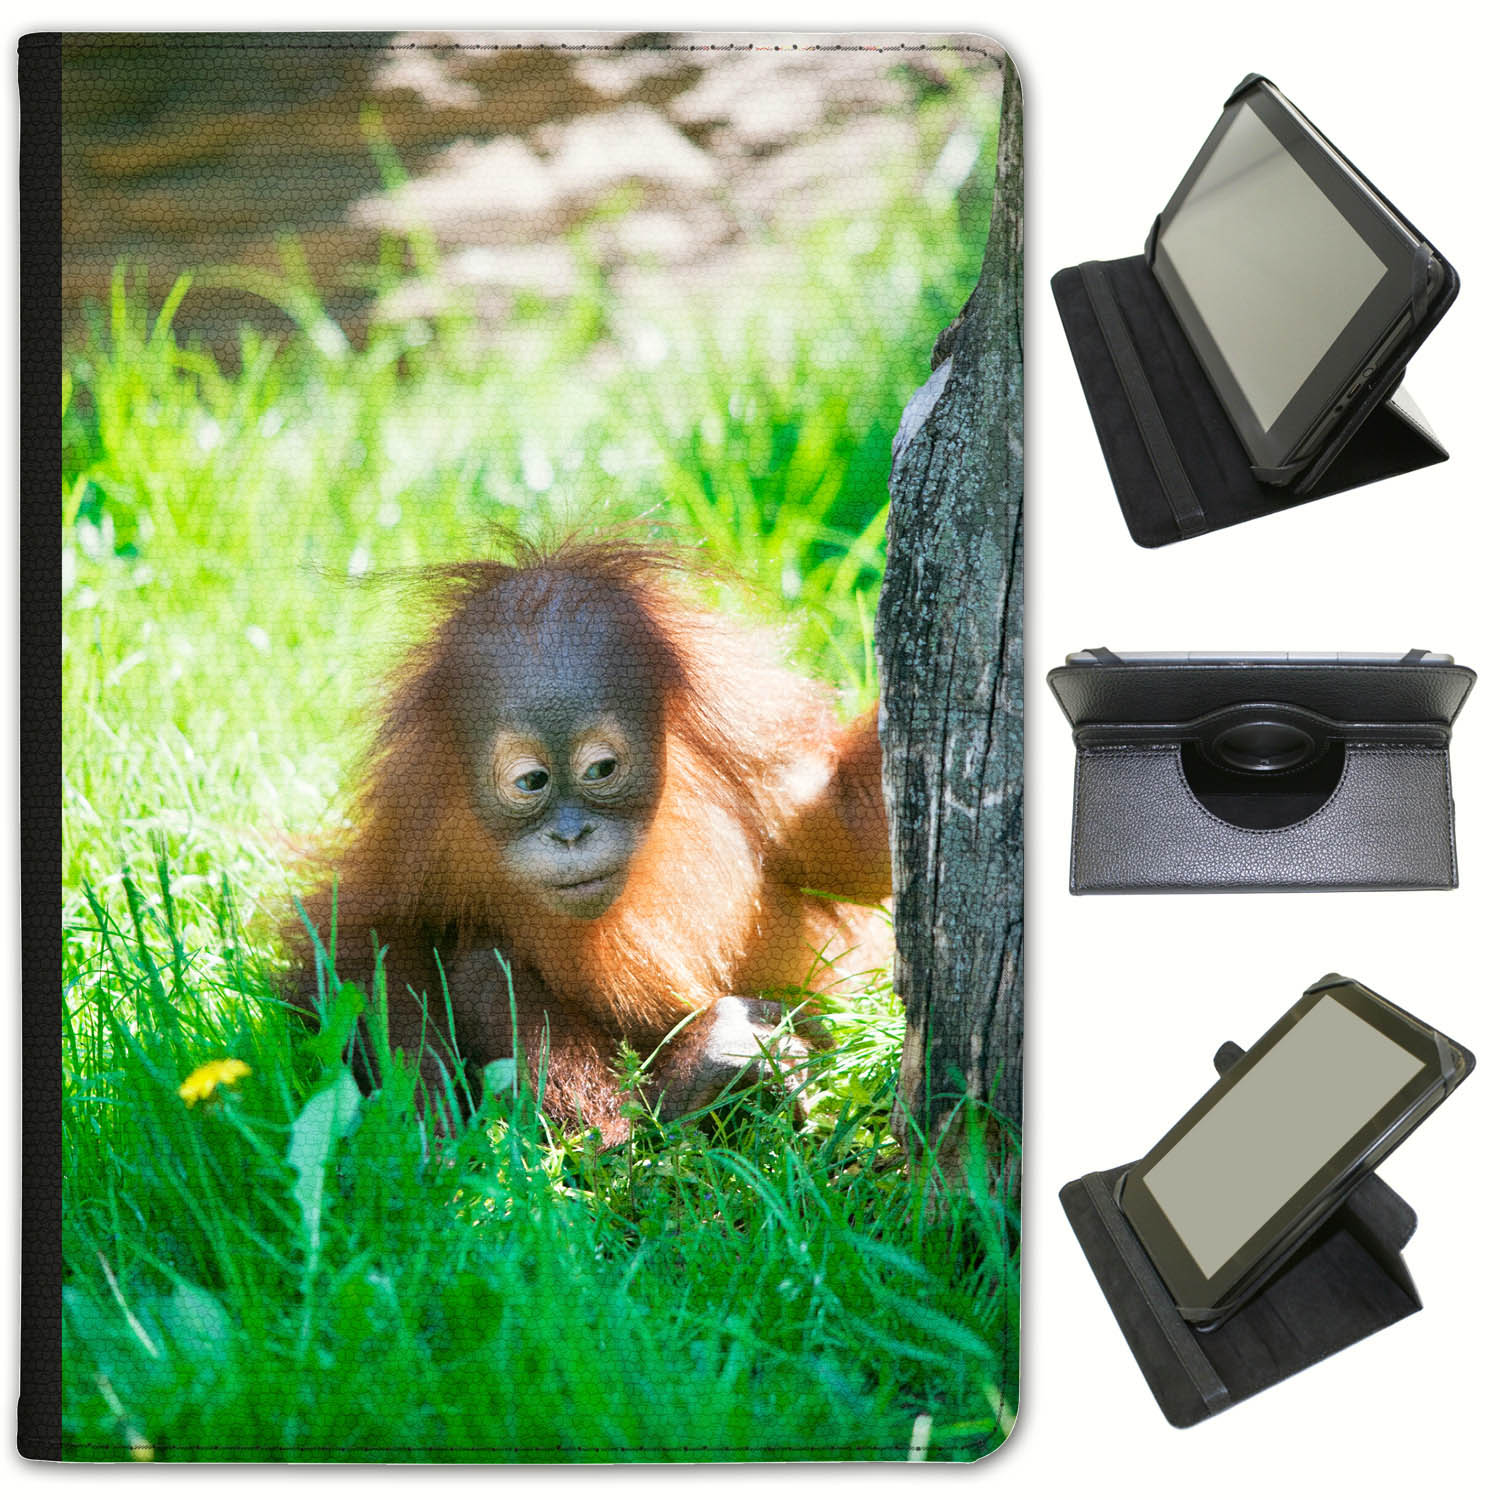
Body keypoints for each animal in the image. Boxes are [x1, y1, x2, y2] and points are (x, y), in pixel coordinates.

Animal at [284, 539, 892, 1142]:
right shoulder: (420, 819)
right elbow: (371, 929)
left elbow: (849, 835)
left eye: (601, 769)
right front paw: (422, 1115)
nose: (572, 833)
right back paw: (653, 1111)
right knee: (485, 970)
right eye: (532, 781)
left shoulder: (760, 769)